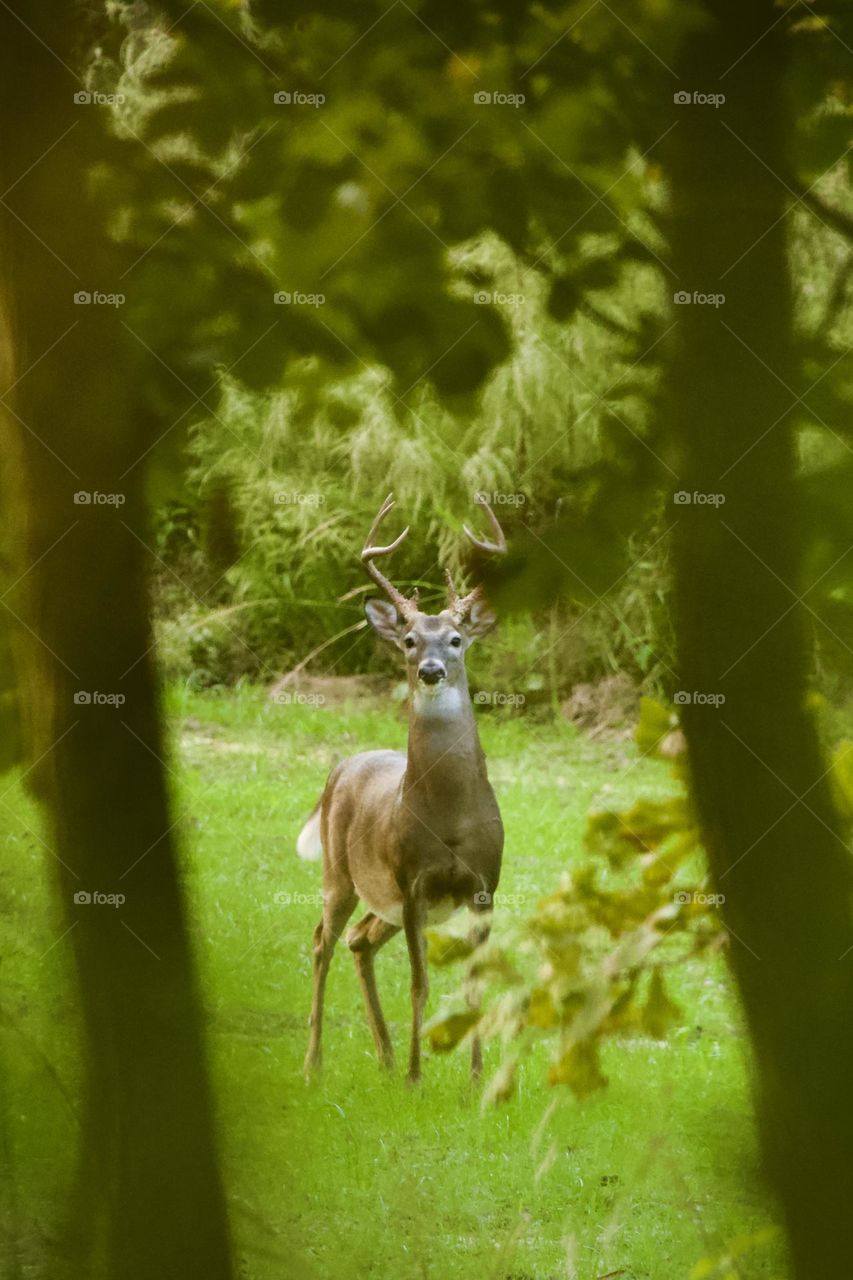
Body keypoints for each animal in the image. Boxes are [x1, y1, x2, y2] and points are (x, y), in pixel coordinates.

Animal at [296, 493, 506, 1083]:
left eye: (456, 639)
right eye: (410, 640)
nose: (432, 670)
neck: (452, 819)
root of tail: (341, 767)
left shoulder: (484, 886)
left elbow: (474, 987)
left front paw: (476, 1079)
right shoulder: (412, 882)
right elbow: (419, 984)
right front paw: (417, 1077)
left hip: (380, 897)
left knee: (359, 940)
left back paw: (386, 1057)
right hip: (340, 873)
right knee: (322, 941)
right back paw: (316, 1062)